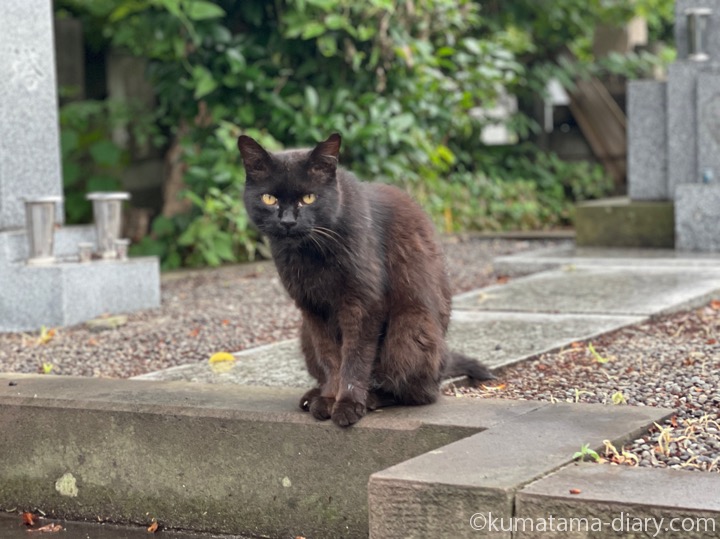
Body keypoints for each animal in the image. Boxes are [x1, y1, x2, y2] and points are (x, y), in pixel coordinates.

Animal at [239, 133, 492, 428]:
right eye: (269, 198)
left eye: (308, 197)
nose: (288, 221)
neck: (310, 254)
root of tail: (443, 360)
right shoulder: (312, 308)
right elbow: (330, 357)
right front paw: (328, 398)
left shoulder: (363, 303)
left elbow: (355, 358)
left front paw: (347, 404)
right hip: (304, 334)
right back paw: (314, 395)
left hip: (410, 328)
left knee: (418, 393)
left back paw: (372, 398)